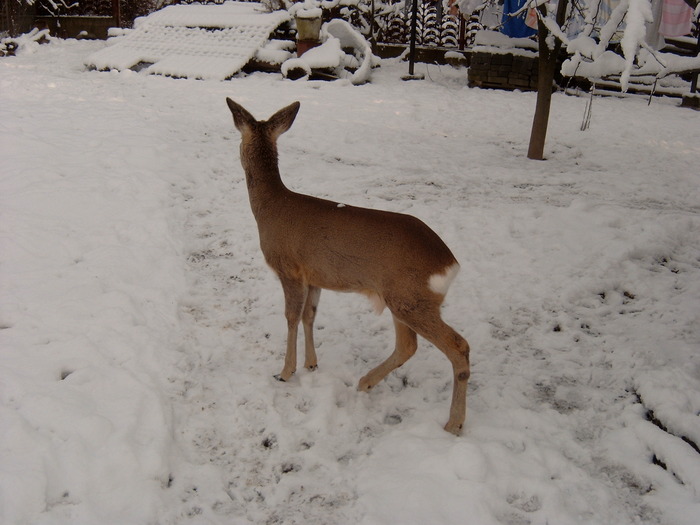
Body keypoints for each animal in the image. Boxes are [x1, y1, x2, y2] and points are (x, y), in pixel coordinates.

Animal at [227, 98, 474, 434]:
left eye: (238, 140)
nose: (236, 156)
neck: (270, 207)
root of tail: (450, 263)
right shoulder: (314, 276)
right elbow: (309, 315)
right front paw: (311, 364)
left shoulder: (289, 268)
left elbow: (291, 317)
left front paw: (286, 371)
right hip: (402, 299)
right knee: (407, 345)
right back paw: (365, 382)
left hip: (411, 298)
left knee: (458, 346)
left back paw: (454, 424)